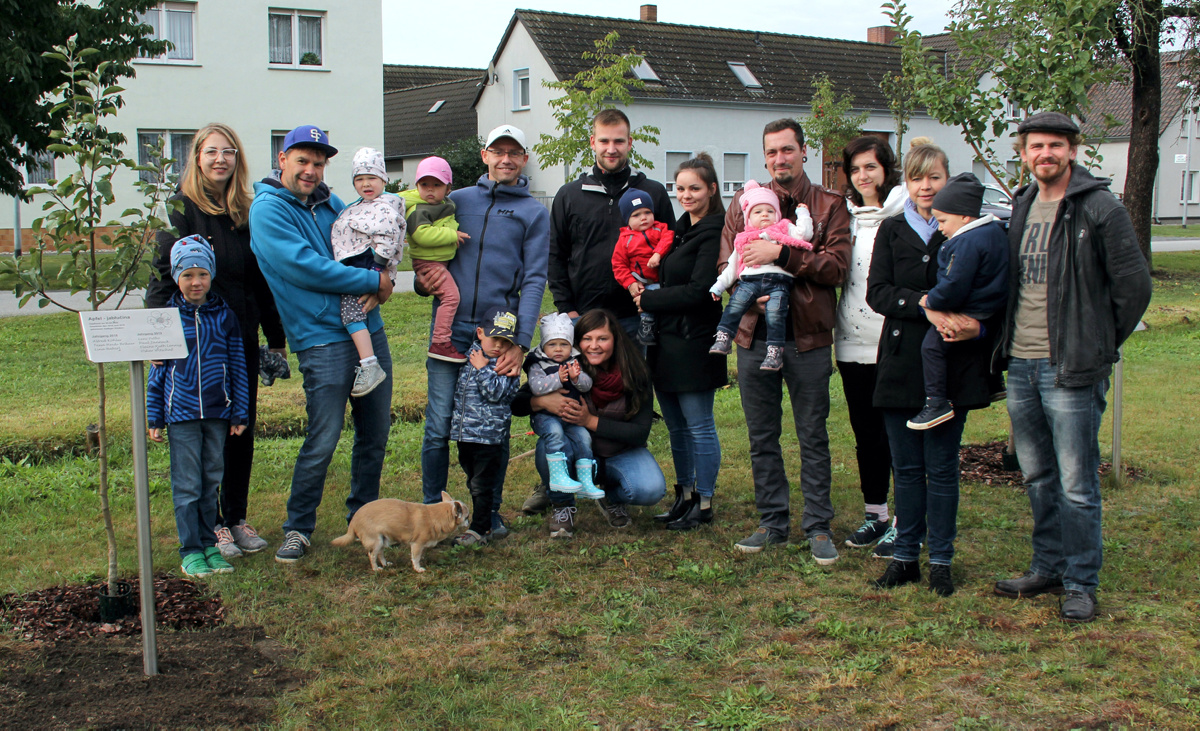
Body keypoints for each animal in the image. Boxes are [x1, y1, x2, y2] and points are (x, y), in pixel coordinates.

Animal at [336, 489, 475, 571]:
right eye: (467, 517)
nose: (469, 521)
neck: (434, 516)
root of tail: (353, 521)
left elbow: (419, 555)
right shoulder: (417, 544)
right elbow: (416, 557)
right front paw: (418, 568)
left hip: (383, 540)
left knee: (380, 554)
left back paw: (385, 564)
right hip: (376, 541)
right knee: (372, 555)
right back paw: (376, 569)